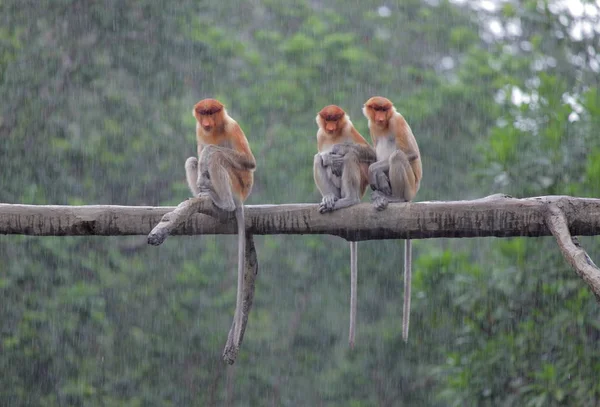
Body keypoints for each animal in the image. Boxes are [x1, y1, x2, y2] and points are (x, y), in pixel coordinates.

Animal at [185, 98, 255, 354]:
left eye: (212, 113)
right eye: (202, 114)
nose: (206, 122)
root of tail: (241, 198)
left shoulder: (231, 127)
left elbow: (247, 160)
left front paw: (209, 153)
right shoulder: (198, 130)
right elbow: (197, 155)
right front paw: (201, 180)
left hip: (238, 184)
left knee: (217, 159)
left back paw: (223, 202)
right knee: (192, 161)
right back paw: (204, 195)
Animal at [314, 104, 376, 348]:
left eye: (336, 119)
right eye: (327, 120)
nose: (331, 127)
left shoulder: (349, 130)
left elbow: (367, 152)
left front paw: (338, 150)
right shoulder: (320, 135)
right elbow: (321, 154)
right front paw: (328, 156)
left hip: (360, 184)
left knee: (351, 157)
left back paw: (348, 200)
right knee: (317, 159)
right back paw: (330, 199)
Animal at [360, 97, 422, 342]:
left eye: (384, 109)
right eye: (376, 109)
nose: (380, 117)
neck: (385, 125)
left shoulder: (397, 120)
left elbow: (411, 153)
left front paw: (373, 171)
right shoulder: (372, 127)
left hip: (410, 186)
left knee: (397, 156)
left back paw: (394, 198)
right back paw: (379, 195)